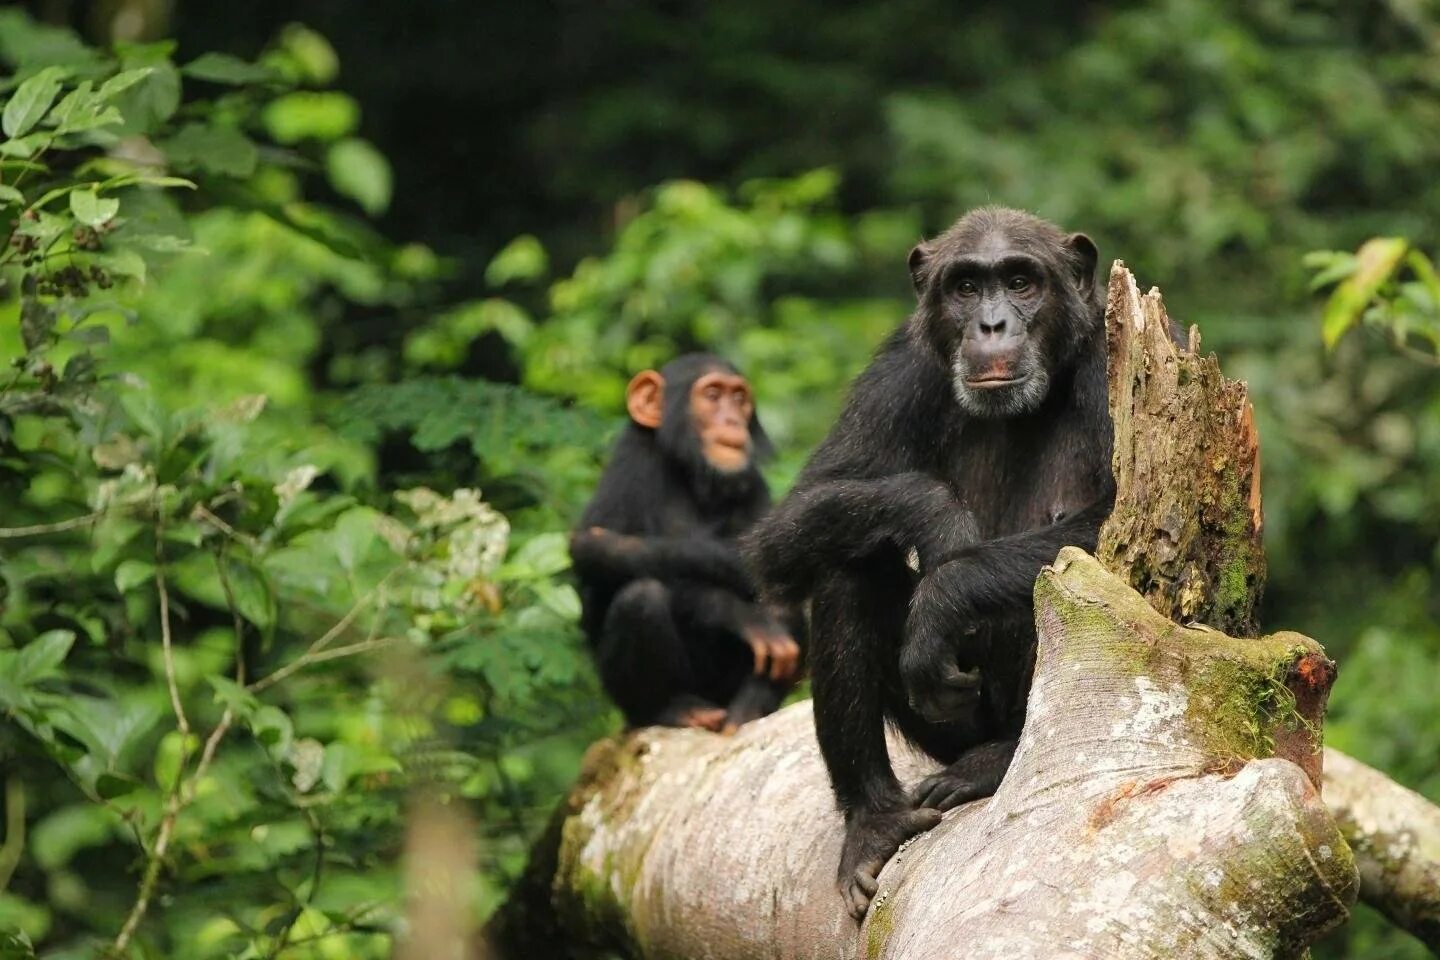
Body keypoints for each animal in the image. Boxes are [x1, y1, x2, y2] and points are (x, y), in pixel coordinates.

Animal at [570, 355, 800, 736]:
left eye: (739, 398)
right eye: (712, 395)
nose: (732, 419)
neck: (689, 471)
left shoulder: (753, 484)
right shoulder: (631, 464)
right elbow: (596, 551)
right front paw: (734, 609)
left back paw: (750, 707)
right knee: (641, 598)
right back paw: (677, 709)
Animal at [748, 207, 1117, 921]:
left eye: (1021, 281)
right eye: (966, 287)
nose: (992, 323)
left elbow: (1119, 518)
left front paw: (947, 593)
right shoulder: (900, 371)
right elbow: (786, 524)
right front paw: (939, 517)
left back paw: (995, 761)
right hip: (947, 727)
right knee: (847, 566)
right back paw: (874, 824)